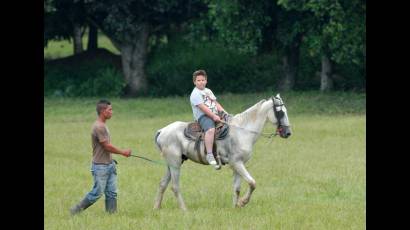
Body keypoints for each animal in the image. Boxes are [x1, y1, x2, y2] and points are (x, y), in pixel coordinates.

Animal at [153, 93, 292, 210]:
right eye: (280, 112)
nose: (288, 133)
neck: (242, 131)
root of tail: (162, 131)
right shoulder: (237, 163)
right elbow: (252, 183)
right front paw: (243, 202)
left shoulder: (238, 165)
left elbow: (237, 188)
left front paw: (235, 207)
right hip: (175, 164)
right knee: (175, 187)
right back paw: (184, 209)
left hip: (171, 164)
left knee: (162, 184)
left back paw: (157, 208)